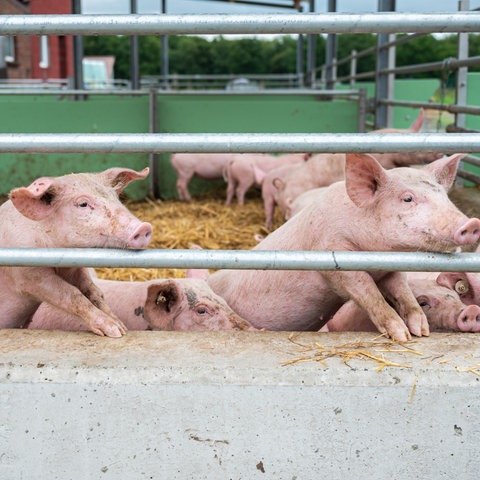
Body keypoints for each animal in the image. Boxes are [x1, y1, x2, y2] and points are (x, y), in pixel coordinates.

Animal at [0, 168, 153, 338]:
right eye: (83, 204)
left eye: (117, 198)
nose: (144, 227)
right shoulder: (28, 276)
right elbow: (71, 295)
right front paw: (114, 331)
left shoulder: (74, 269)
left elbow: (94, 292)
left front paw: (121, 326)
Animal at [208, 154, 480, 342]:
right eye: (407, 198)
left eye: (445, 197)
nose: (472, 223)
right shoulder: (334, 258)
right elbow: (368, 293)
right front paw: (400, 335)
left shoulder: (390, 270)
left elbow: (402, 292)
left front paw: (421, 331)